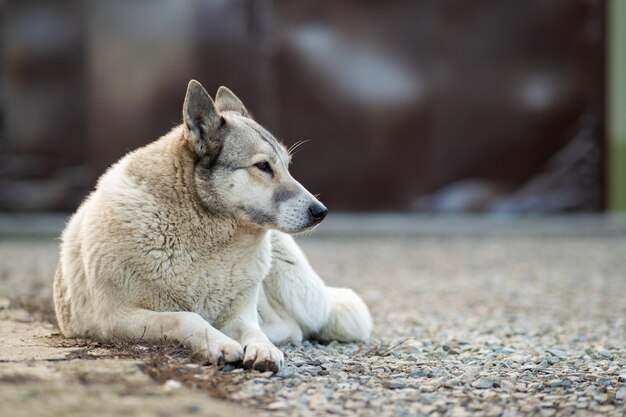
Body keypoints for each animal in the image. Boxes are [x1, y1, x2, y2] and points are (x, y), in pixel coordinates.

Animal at [53, 79, 370, 372]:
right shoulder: (116, 318)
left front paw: (262, 348)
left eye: (287, 166)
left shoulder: (241, 314)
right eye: (263, 166)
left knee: (293, 325)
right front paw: (219, 343)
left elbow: (252, 330)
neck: (207, 236)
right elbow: (186, 317)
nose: (321, 212)